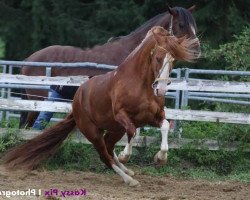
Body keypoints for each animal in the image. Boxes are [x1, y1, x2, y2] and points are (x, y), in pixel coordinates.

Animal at [4, 26, 199, 186]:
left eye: (173, 60)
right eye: (158, 58)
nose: (161, 89)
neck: (138, 83)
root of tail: (76, 102)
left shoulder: (153, 117)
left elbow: (165, 126)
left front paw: (160, 158)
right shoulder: (123, 116)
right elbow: (132, 132)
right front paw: (126, 155)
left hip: (114, 129)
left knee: (109, 147)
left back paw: (128, 172)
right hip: (93, 131)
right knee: (104, 154)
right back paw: (129, 179)